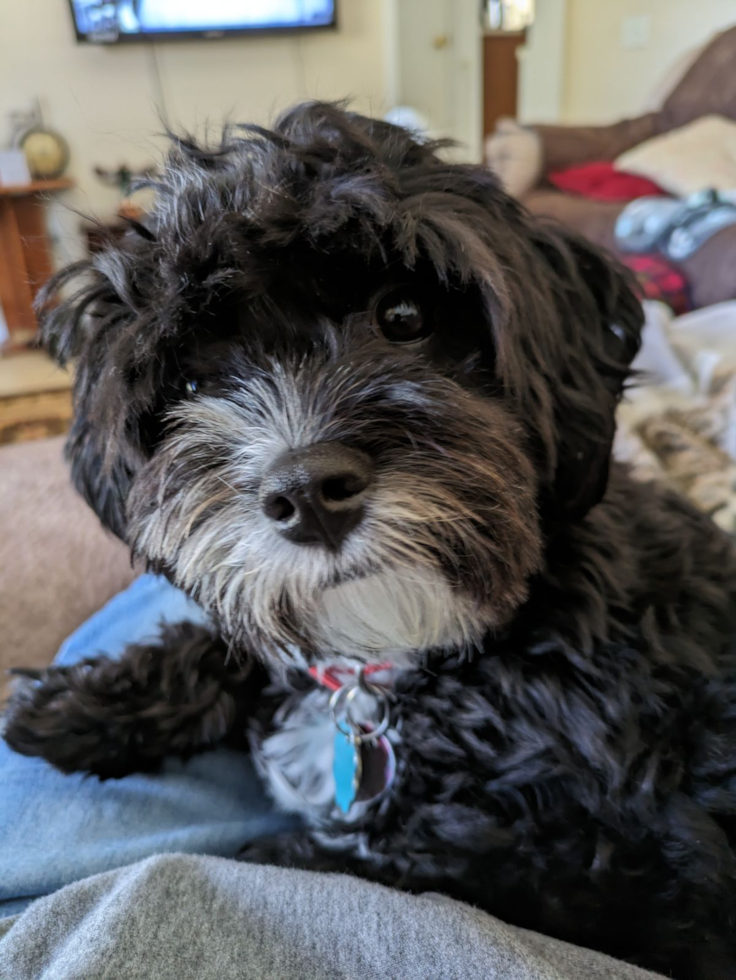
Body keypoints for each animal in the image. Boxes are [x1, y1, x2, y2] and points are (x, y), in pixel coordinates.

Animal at [5, 103, 736, 976]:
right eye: (190, 383)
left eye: (405, 317)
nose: (305, 493)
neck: (401, 661)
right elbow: (238, 644)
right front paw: (77, 702)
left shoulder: (620, 866)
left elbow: (354, 855)